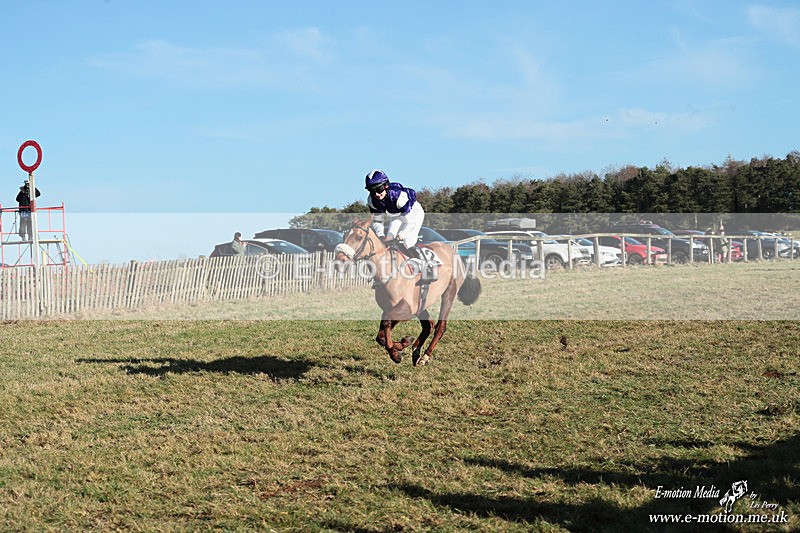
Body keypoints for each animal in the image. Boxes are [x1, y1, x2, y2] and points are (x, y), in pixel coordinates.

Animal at [334, 217, 481, 366]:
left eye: (359, 237)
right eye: (344, 236)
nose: (339, 261)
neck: (388, 270)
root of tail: (454, 252)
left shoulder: (407, 309)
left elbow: (386, 325)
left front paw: (397, 351)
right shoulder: (390, 308)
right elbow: (381, 336)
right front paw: (401, 346)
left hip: (449, 293)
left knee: (440, 327)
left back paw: (425, 356)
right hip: (422, 302)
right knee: (428, 325)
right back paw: (416, 350)